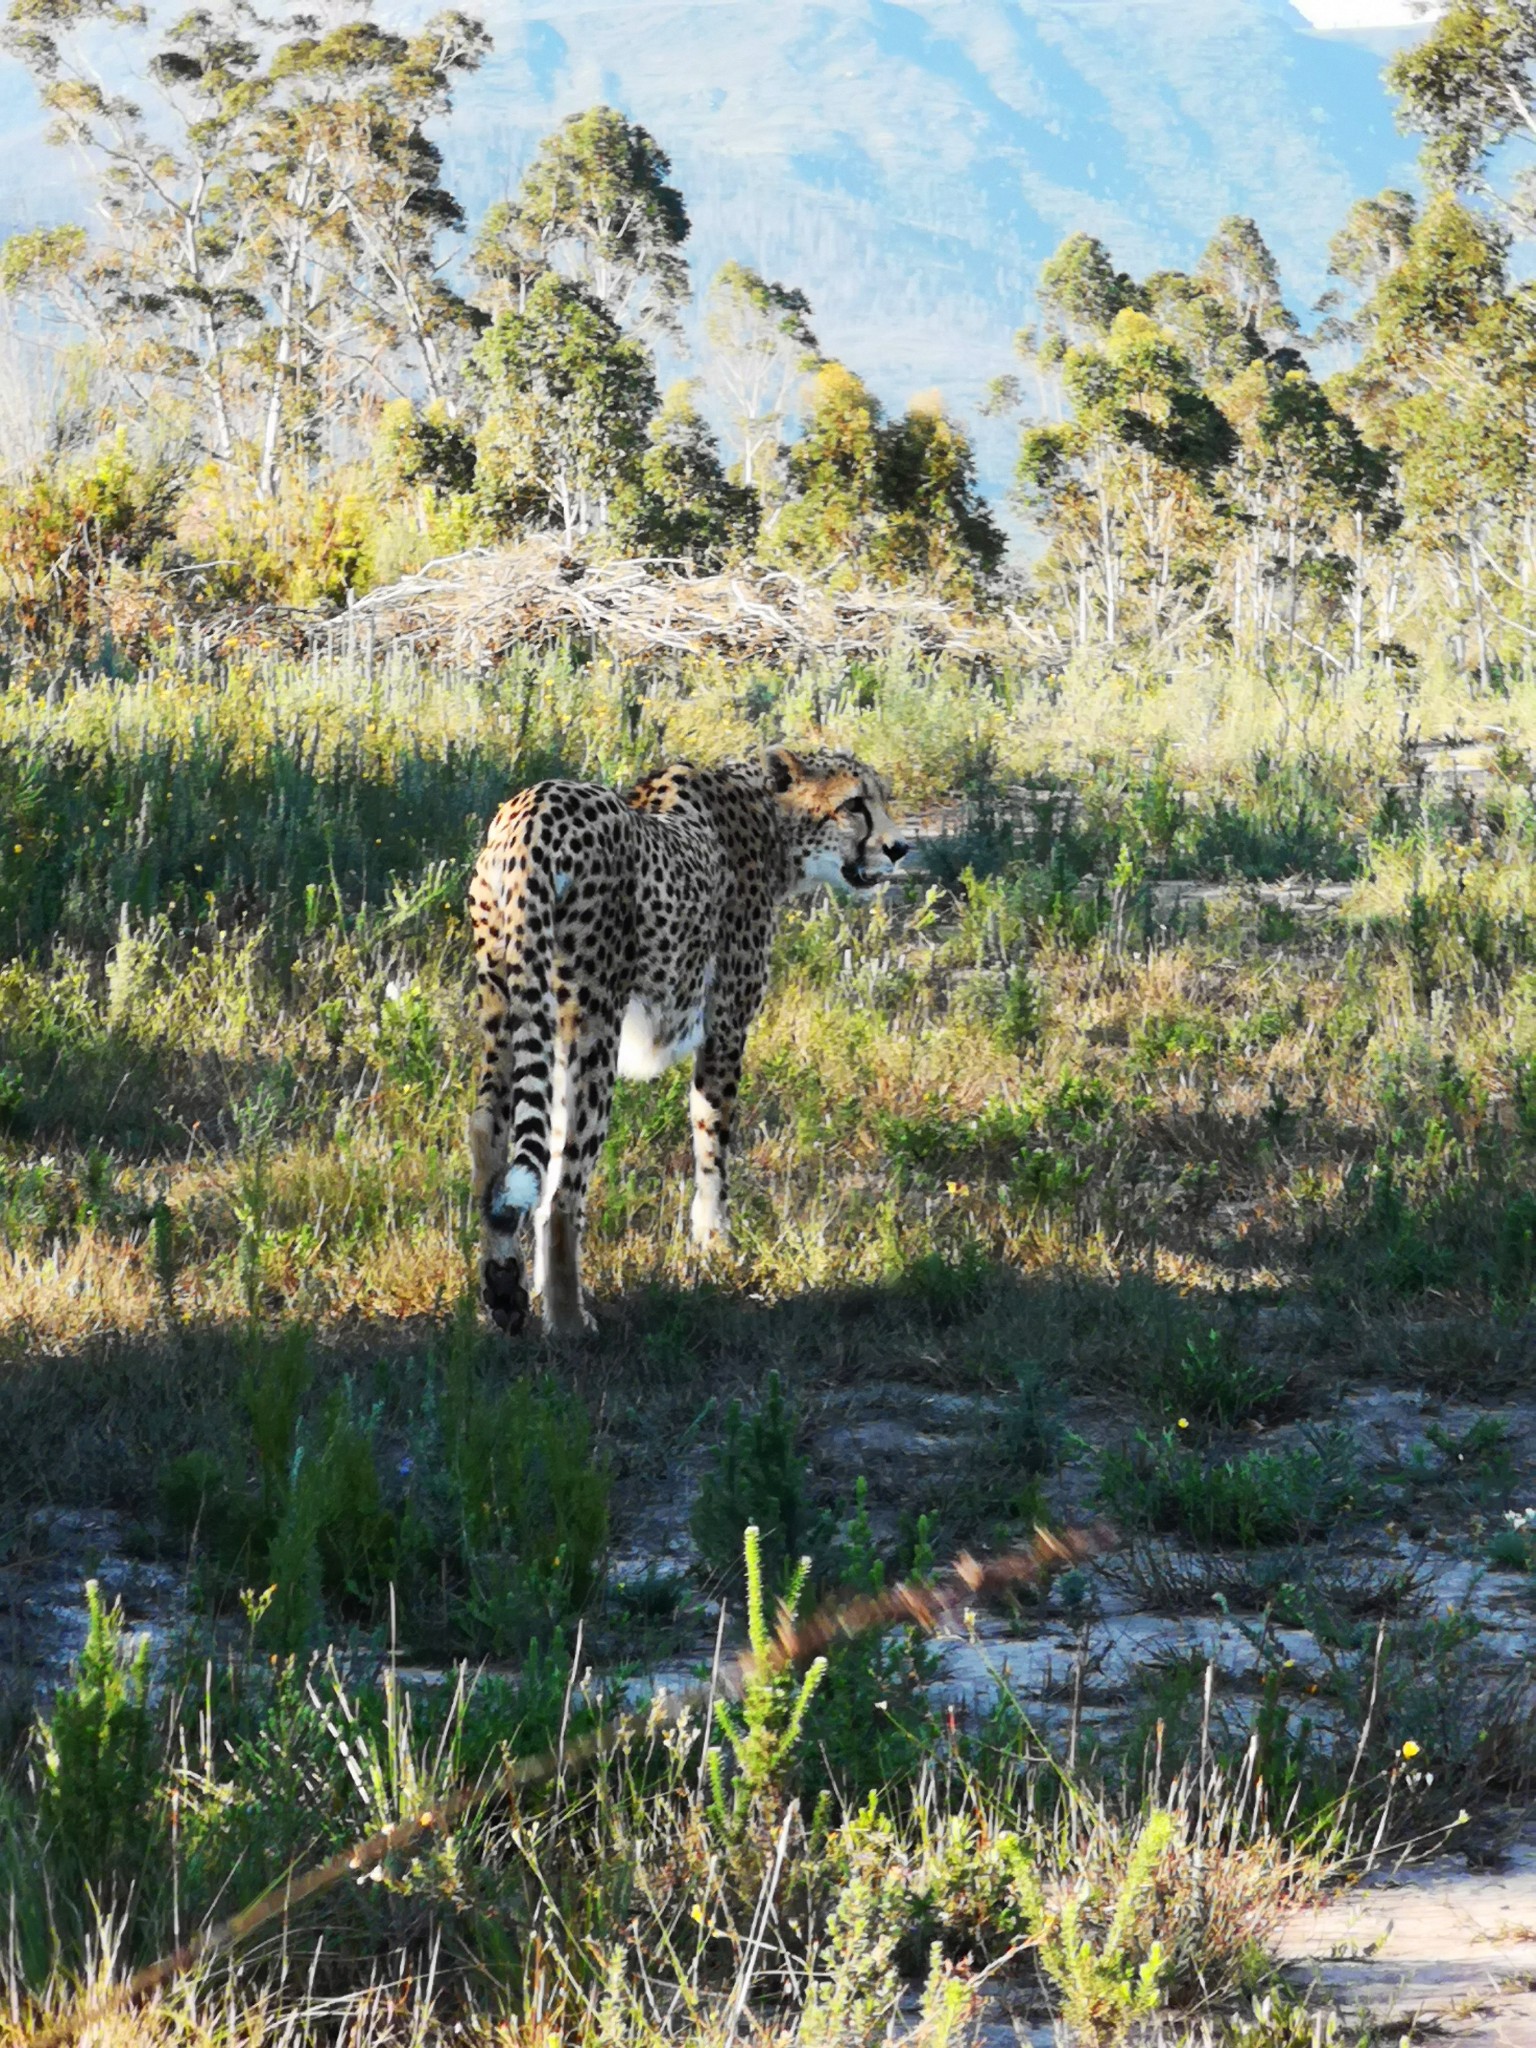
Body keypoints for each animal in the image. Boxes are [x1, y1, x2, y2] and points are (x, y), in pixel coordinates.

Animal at [462, 745, 909, 1335]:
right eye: (854, 804)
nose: (900, 847)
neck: (768, 820)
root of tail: (534, 808)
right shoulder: (725, 1028)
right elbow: (712, 1141)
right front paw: (716, 1242)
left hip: (504, 1000)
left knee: (489, 1133)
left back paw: (504, 1290)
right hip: (592, 1025)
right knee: (563, 1183)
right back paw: (570, 1322)